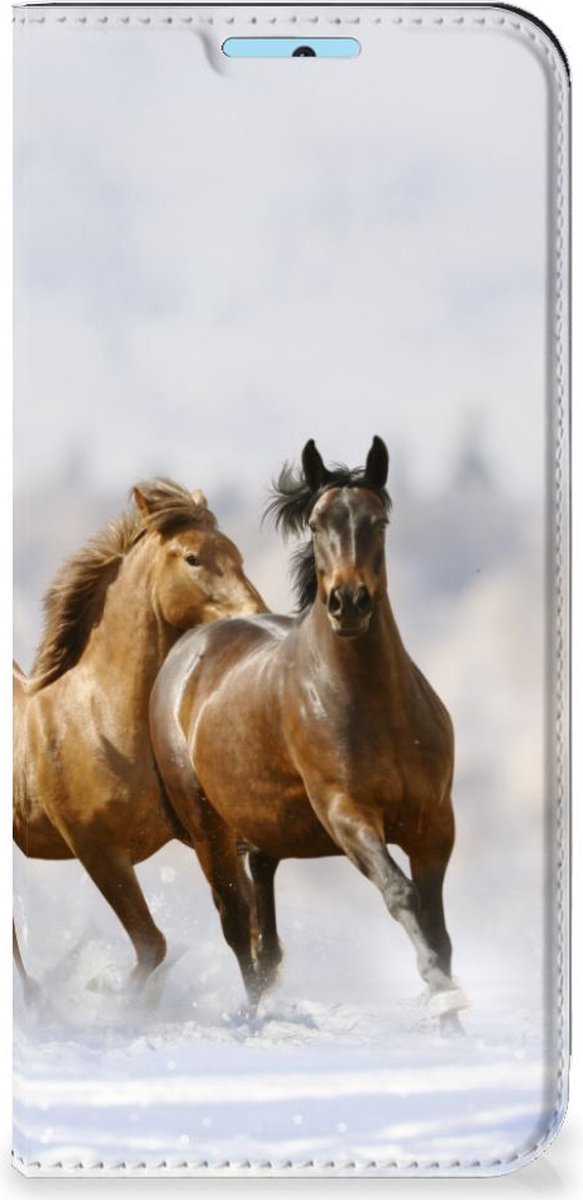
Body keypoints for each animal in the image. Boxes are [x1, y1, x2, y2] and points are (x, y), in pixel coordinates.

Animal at [13, 478, 266, 992]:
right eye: (192, 558)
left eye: (237, 554)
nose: (256, 615)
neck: (100, 720)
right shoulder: (98, 851)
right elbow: (152, 945)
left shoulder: (207, 836)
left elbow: (241, 925)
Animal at [150, 439, 467, 1033]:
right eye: (318, 523)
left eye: (378, 520)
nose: (349, 602)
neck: (374, 706)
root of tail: (187, 650)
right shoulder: (347, 813)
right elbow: (402, 895)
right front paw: (442, 995)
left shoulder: (434, 822)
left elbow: (438, 925)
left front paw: (453, 1021)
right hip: (207, 829)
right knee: (237, 924)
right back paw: (253, 1019)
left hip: (265, 826)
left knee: (263, 919)